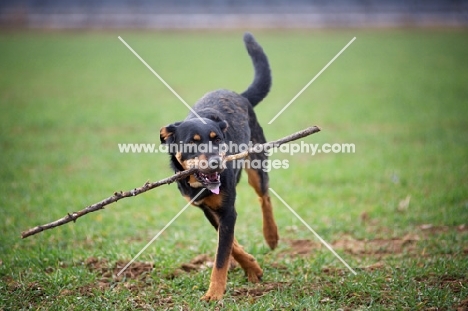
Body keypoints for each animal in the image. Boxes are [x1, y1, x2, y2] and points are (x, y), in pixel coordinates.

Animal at [159, 32, 280, 302]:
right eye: (192, 143)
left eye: (217, 139)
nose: (216, 161)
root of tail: (241, 95)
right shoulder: (207, 208)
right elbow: (228, 245)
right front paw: (251, 267)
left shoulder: (227, 209)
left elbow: (221, 257)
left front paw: (214, 294)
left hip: (256, 165)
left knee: (265, 196)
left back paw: (271, 235)